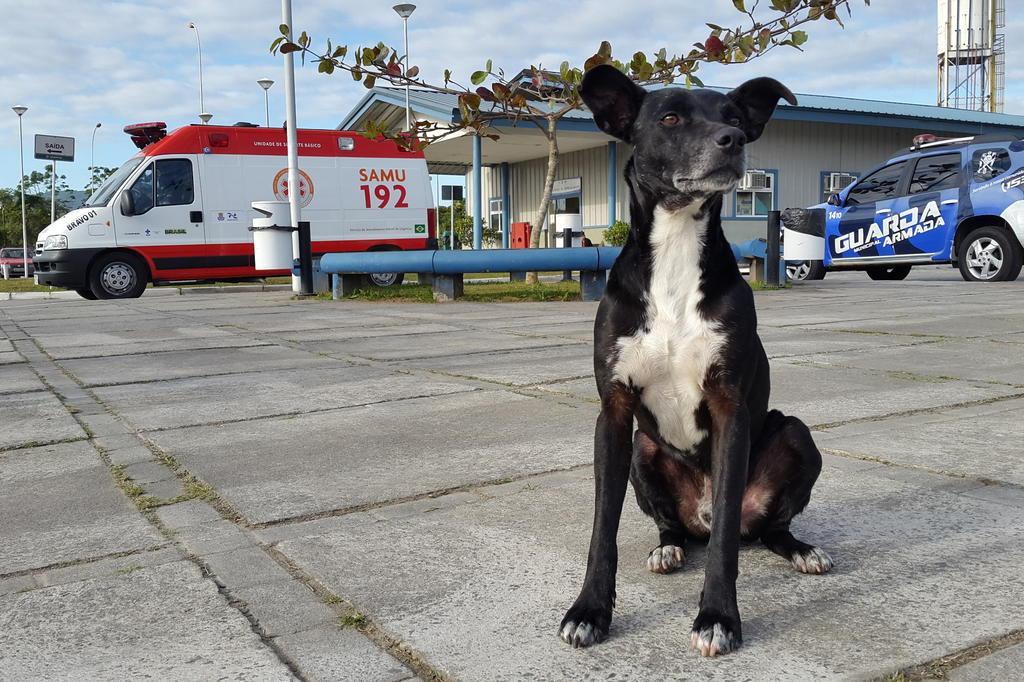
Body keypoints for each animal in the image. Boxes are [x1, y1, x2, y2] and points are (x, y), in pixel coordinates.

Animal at [561, 66, 831, 655]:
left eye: (734, 118)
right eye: (669, 117)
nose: (731, 141)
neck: (678, 248)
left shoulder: (729, 409)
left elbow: (728, 535)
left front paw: (718, 617)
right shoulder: (613, 413)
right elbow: (602, 528)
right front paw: (590, 610)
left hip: (794, 434)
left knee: (760, 528)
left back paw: (800, 549)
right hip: (642, 451)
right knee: (673, 526)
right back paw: (668, 547)